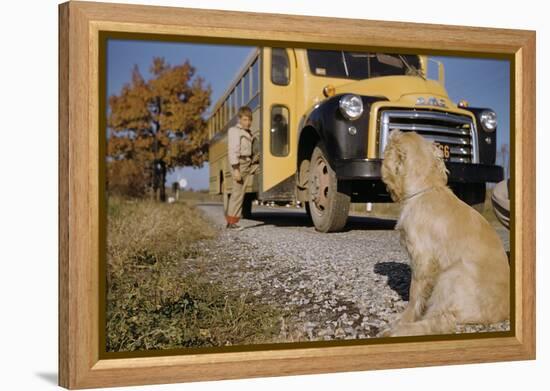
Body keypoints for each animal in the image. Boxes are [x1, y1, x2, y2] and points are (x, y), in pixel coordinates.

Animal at [382, 129, 512, 336]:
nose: (394, 130)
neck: (425, 188)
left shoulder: (423, 260)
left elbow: (414, 294)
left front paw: (403, 319)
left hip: (451, 275)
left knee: (442, 321)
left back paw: (397, 330)